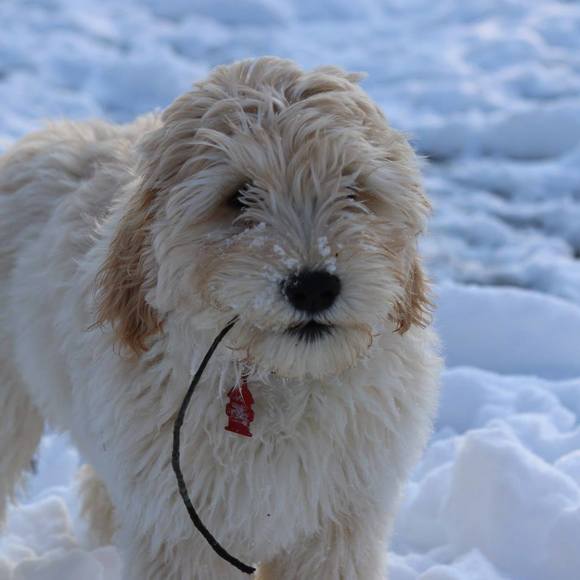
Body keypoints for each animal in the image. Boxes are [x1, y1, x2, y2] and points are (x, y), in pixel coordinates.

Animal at [0, 57, 441, 579]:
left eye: (353, 188)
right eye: (238, 195)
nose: (314, 286)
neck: (280, 379)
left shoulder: (339, 528)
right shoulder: (181, 530)